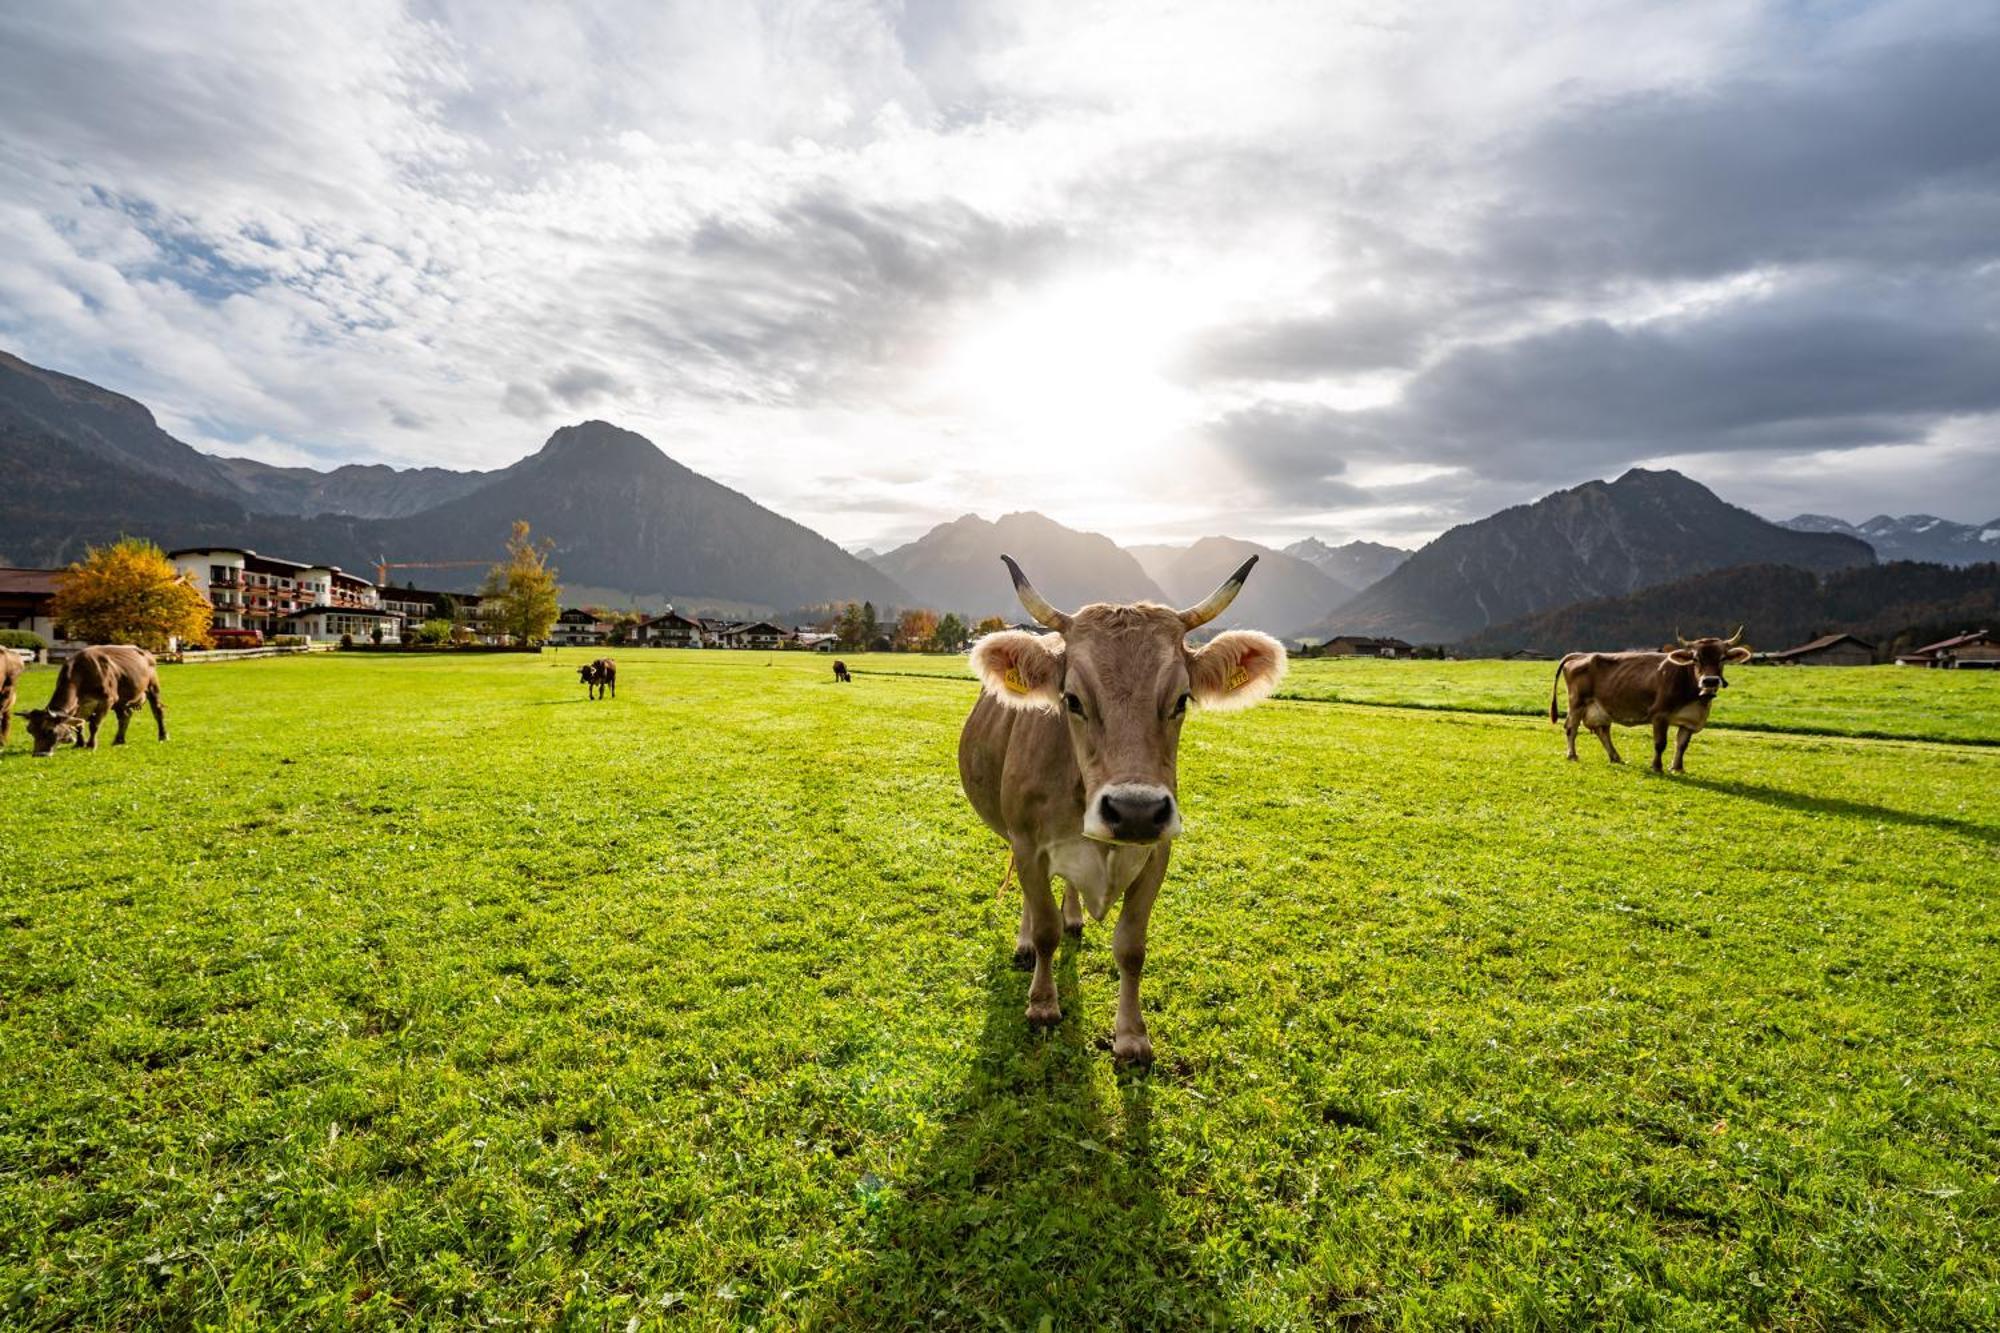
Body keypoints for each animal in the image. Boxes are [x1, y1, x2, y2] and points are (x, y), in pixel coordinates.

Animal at [22, 644, 168, 756]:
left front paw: (91, 745)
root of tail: (145, 652)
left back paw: (163, 736)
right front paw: (79, 744)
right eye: (30, 730)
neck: (81, 673)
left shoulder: (107, 700)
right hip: (120, 701)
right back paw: (119, 740)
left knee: (158, 711)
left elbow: (94, 724)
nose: (39, 754)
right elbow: (79, 725)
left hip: (152, 687)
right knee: (125, 716)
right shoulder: (80, 706)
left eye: (49, 730)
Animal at [956, 548, 1296, 1056]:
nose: (1135, 811)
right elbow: (1044, 928)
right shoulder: (1029, 846)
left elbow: (1131, 947)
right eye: (1072, 699)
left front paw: (1132, 1035)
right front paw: (1042, 1003)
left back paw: (1075, 916)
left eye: (1181, 699)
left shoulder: (1157, 852)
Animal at [1544, 628, 1752, 772]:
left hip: (1600, 708)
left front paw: (1677, 768)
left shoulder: (1690, 721)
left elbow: (1682, 744)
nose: (1710, 680)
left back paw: (1616, 757)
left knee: (1602, 731)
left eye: (1722, 658)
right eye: (1695, 658)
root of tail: (1581, 654)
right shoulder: (1660, 715)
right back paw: (1572, 755)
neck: (1696, 699)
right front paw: (1657, 767)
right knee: (1571, 728)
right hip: (1577, 703)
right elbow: (1660, 743)